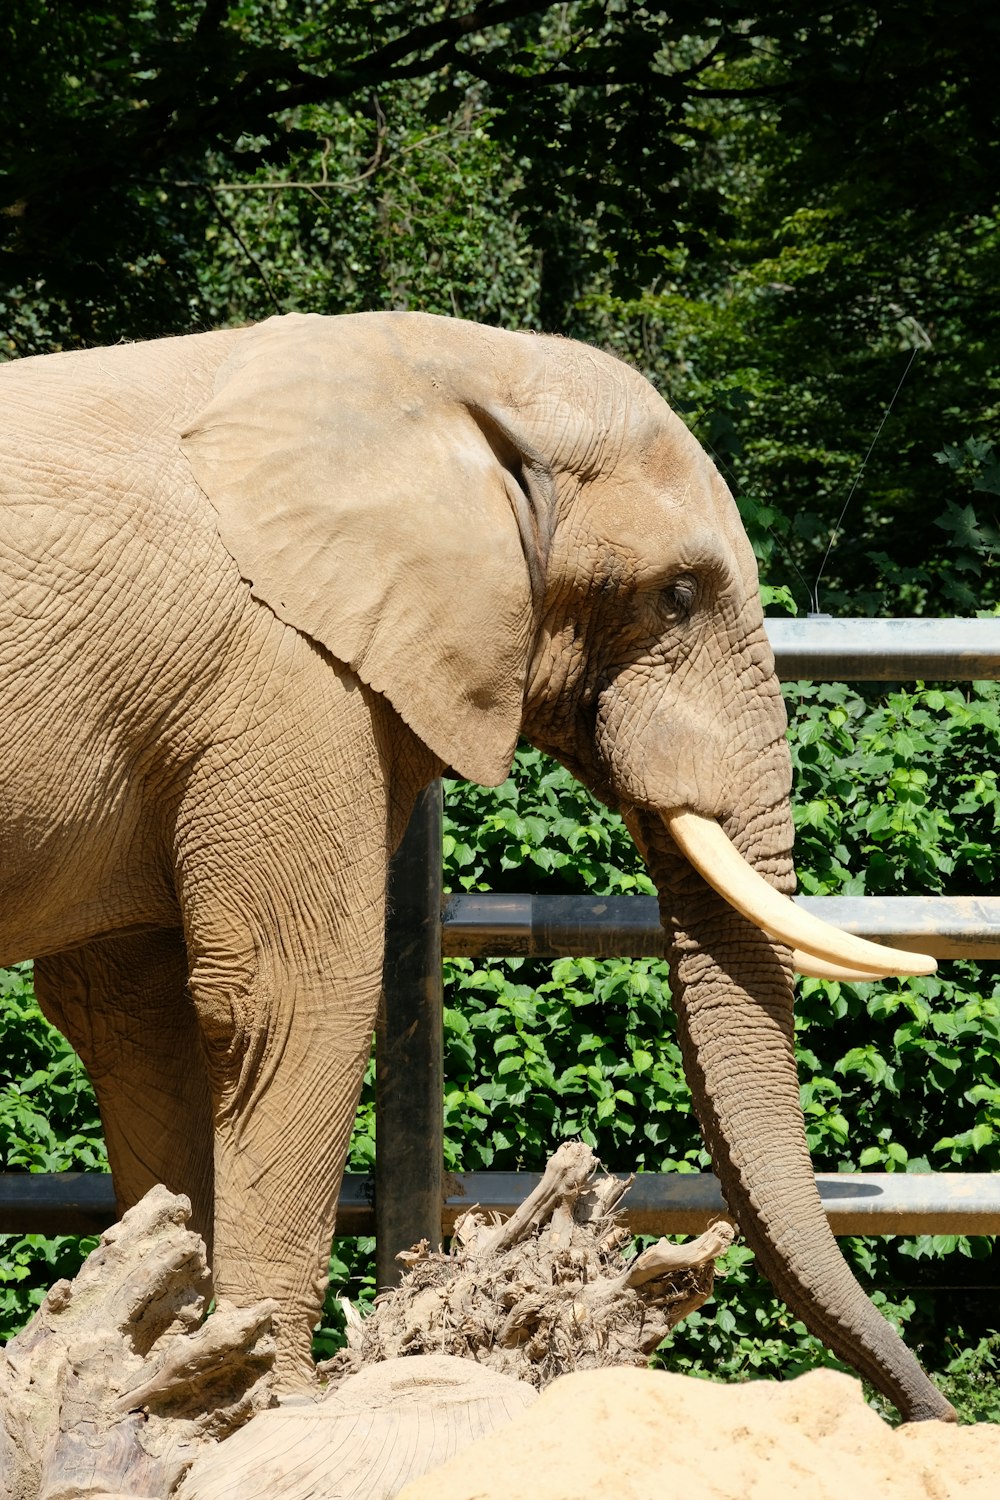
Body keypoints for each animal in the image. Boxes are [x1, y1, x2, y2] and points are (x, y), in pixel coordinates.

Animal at [0, 313, 953, 1416]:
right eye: (676, 596)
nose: (927, 1412)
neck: (435, 363)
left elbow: (134, 1016)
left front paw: (170, 1375)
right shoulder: (281, 673)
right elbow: (282, 1001)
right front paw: (271, 1401)